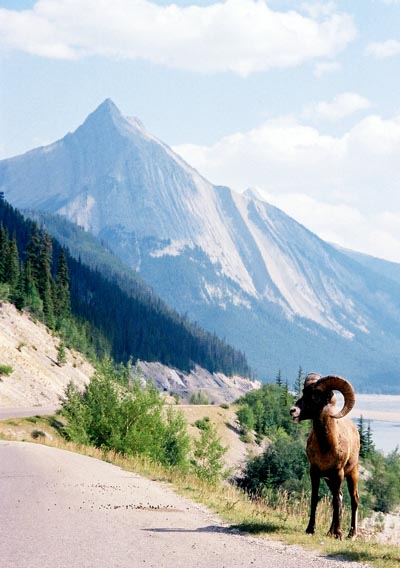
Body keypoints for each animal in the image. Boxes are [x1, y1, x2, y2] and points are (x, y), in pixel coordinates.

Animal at [290, 374, 360, 540]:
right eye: (304, 392)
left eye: (315, 396)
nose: (293, 411)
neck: (326, 446)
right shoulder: (315, 472)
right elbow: (315, 498)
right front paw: (310, 529)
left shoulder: (338, 473)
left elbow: (336, 502)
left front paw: (339, 534)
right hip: (330, 481)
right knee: (339, 496)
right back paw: (330, 532)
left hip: (352, 474)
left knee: (353, 500)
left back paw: (350, 534)